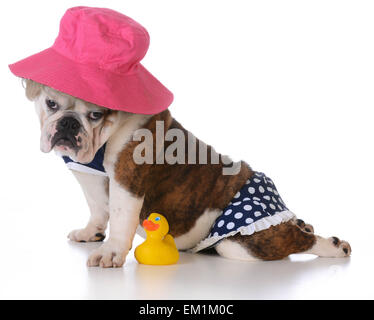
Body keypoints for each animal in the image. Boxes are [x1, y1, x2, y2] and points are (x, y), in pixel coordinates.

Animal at [22, 79, 350, 268]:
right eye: (51, 103)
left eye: (95, 115)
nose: (68, 123)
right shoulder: (88, 178)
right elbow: (97, 208)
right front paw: (91, 233)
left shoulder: (127, 180)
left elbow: (120, 215)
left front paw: (110, 251)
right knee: (298, 228)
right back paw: (306, 226)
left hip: (241, 243)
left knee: (298, 241)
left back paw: (334, 246)